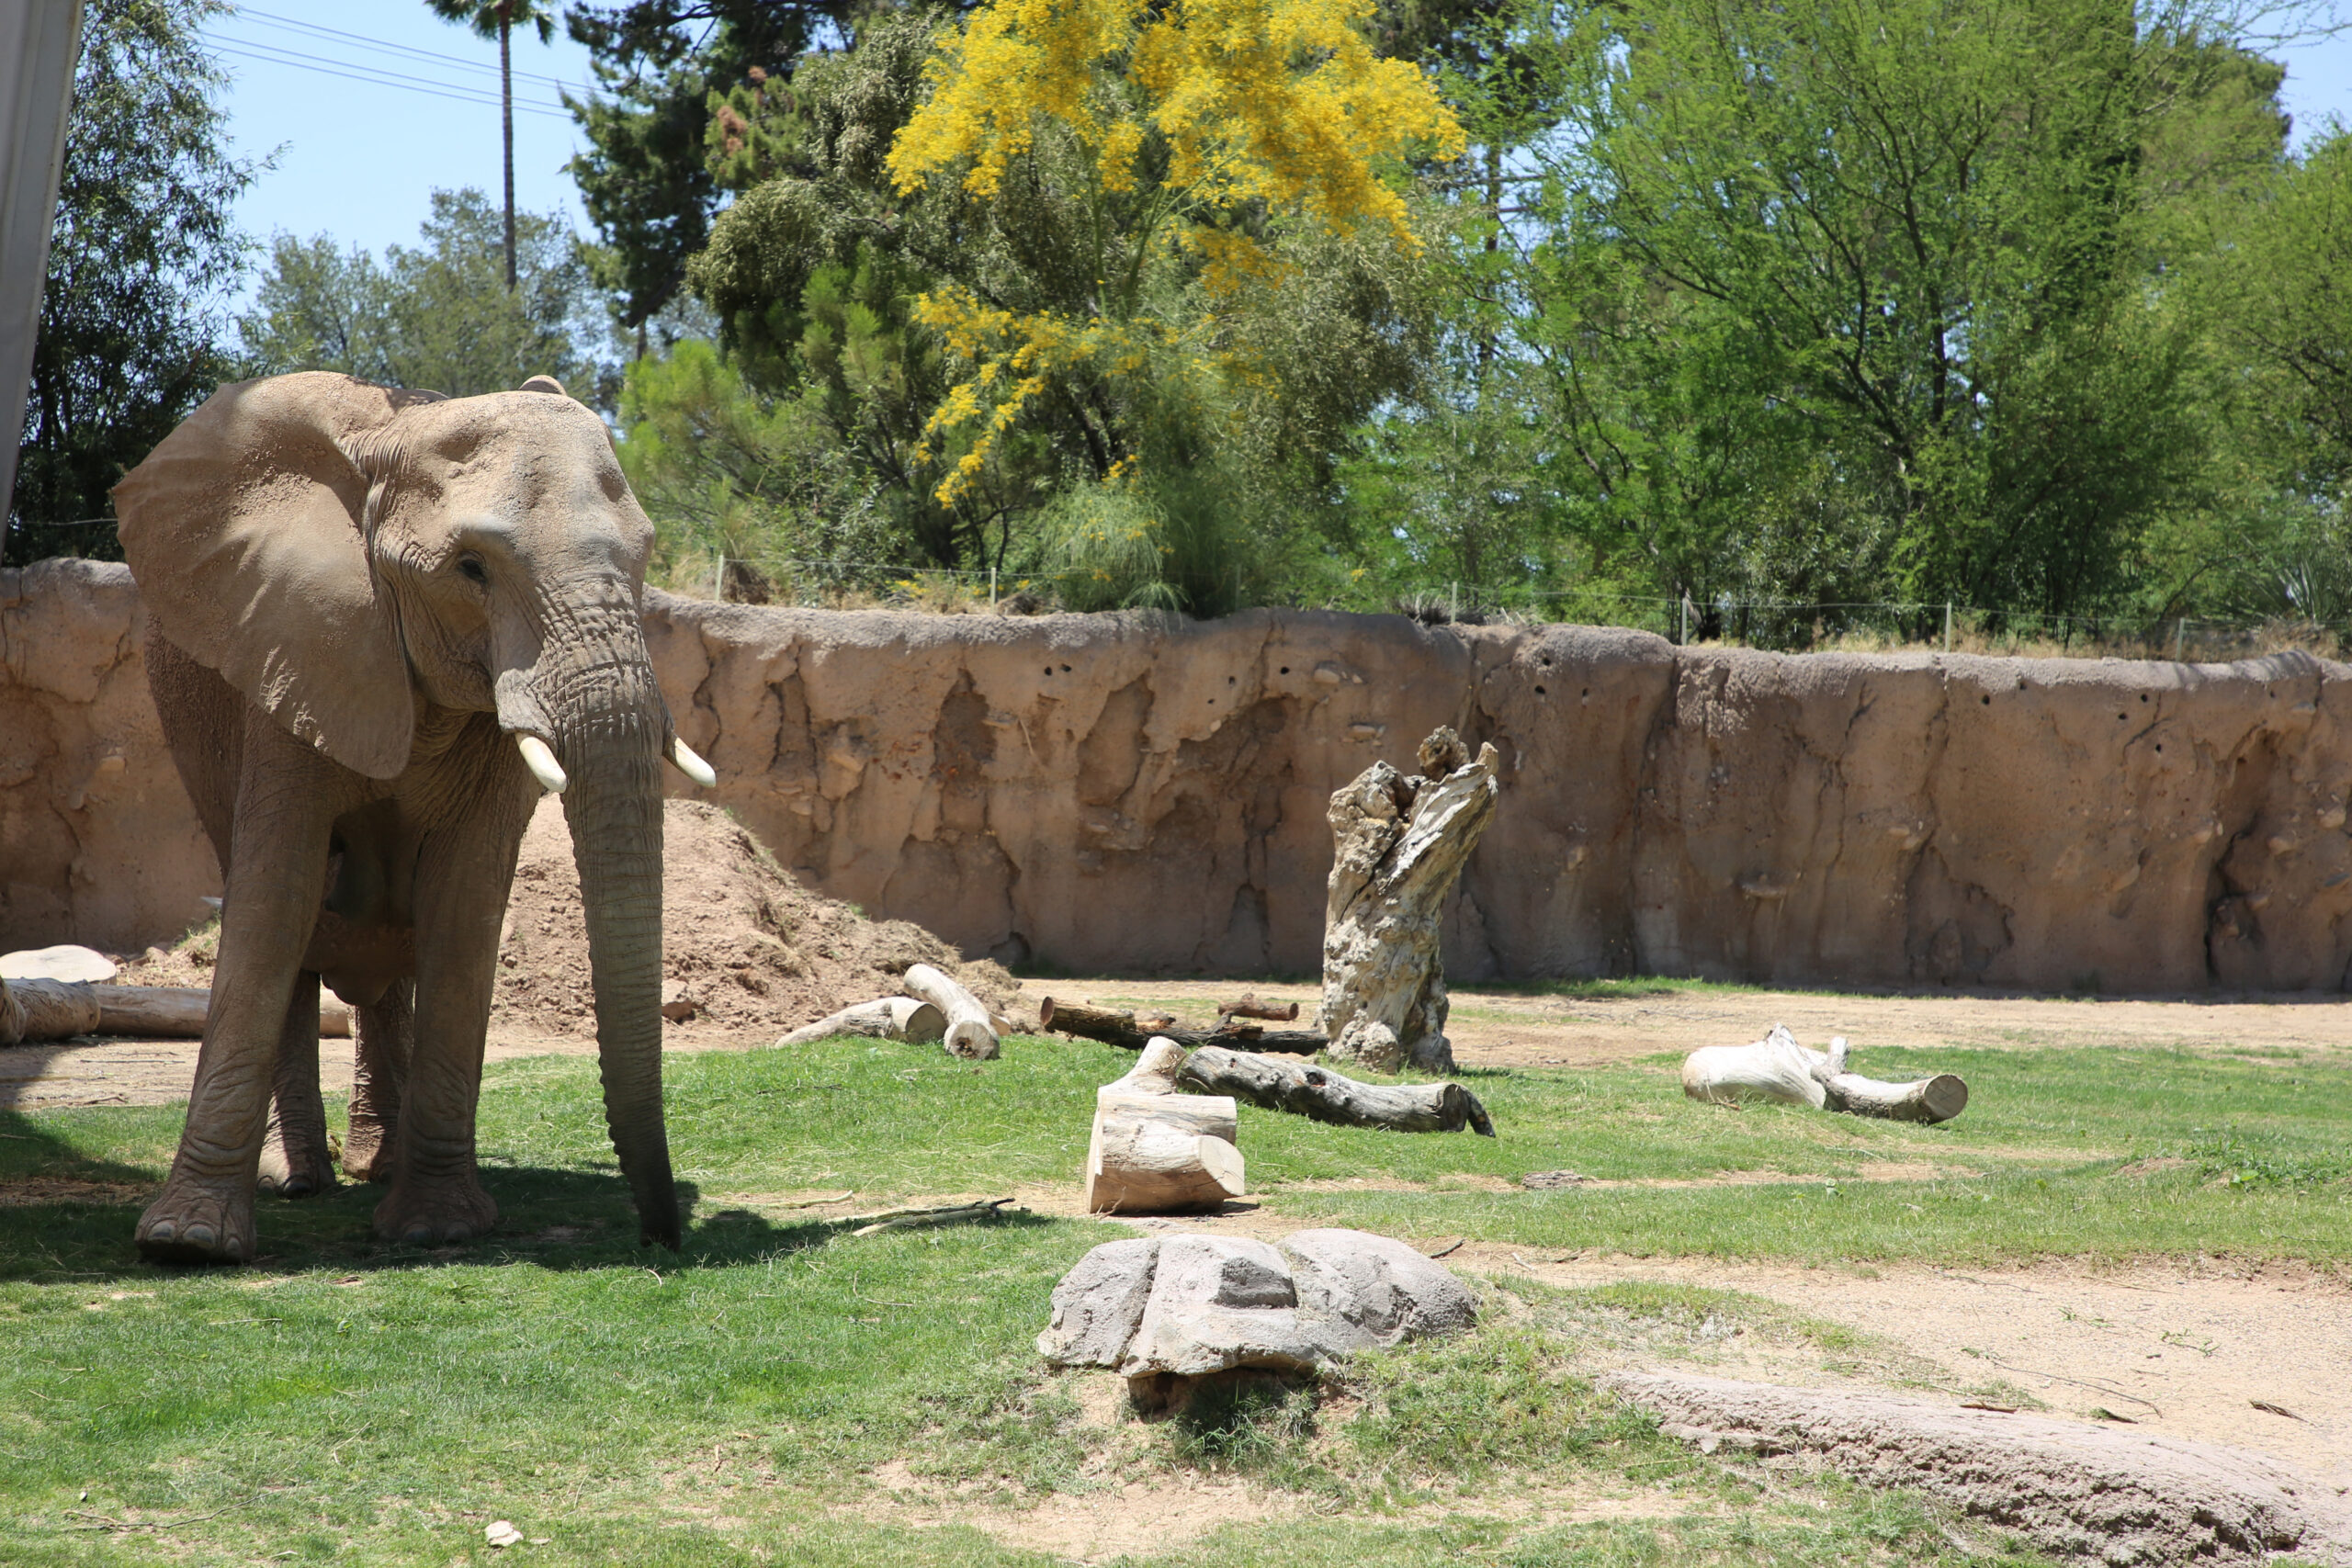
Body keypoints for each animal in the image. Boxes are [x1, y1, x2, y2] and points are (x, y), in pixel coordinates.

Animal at [112, 368, 715, 1259]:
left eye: (643, 557)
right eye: (471, 568)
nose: (661, 1234)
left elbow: (463, 903)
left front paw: (437, 1227)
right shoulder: (297, 641)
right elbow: (277, 895)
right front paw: (186, 1242)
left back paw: (379, 1168)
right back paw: (298, 1179)